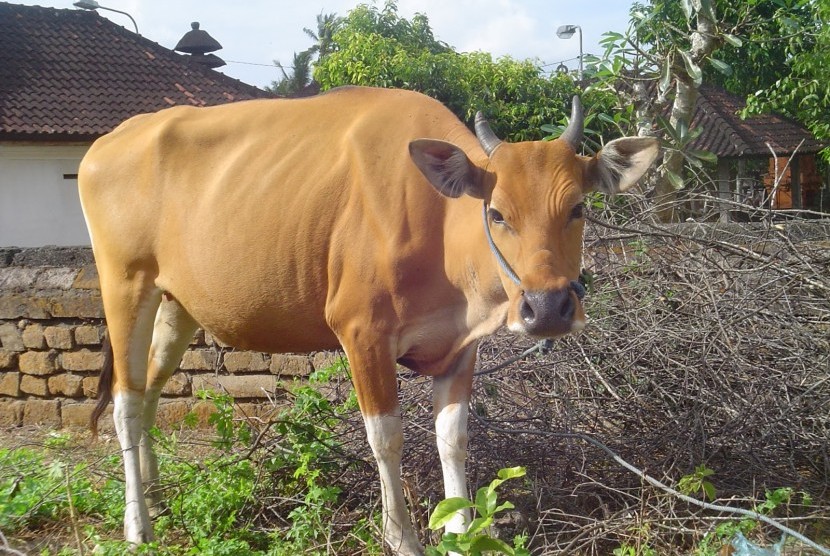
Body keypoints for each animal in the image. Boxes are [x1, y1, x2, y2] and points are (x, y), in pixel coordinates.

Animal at [79, 84, 664, 552]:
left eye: (578, 208)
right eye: (497, 213)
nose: (546, 308)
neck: (437, 228)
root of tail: (107, 143)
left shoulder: (462, 346)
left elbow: (453, 437)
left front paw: (461, 532)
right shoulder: (361, 333)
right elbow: (386, 438)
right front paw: (401, 537)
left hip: (177, 303)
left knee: (149, 393)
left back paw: (157, 496)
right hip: (125, 285)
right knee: (125, 404)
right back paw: (138, 525)